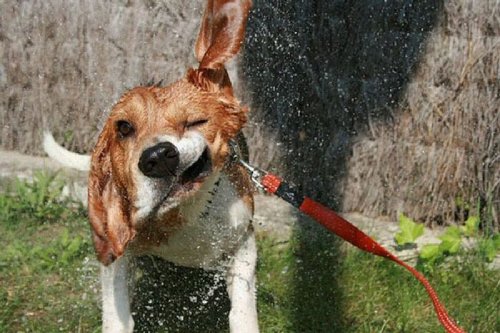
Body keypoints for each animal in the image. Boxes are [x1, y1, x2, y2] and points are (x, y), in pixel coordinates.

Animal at [44, 1, 258, 330]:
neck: (184, 214)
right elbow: (117, 316)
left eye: (194, 121)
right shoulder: (120, 253)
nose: (157, 157)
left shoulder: (244, 239)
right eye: (123, 128)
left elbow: (243, 305)